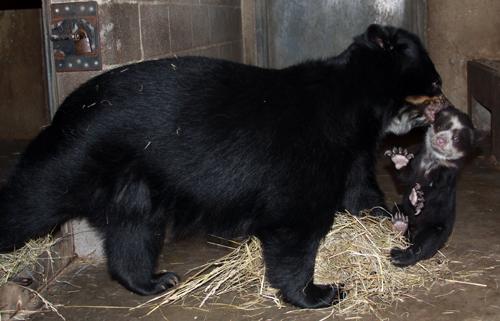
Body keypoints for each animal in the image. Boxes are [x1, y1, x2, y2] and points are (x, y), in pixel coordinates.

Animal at [0, 24, 446, 304]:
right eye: (434, 81)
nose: (444, 99)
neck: (357, 106)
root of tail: (67, 108)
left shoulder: (349, 152)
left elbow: (359, 194)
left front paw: (395, 219)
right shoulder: (307, 152)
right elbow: (296, 223)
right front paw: (320, 292)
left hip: (135, 182)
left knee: (133, 232)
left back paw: (154, 280)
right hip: (76, 157)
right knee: (32, 199)